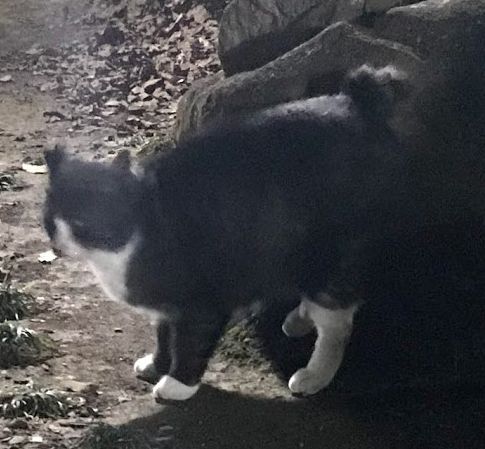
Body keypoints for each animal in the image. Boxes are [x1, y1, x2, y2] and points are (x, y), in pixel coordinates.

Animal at [43, 65, 406, 401]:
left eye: (80, 221)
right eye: (49, 218)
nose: (57, 242)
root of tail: (359, 103)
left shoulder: (201, 300)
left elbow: (190, 343)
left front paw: (176, 384)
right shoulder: (166, 308)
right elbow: (164, 336)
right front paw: (157, 365)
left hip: (337, 257)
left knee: (337, 325)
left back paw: (313, 375)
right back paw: (299, 319)